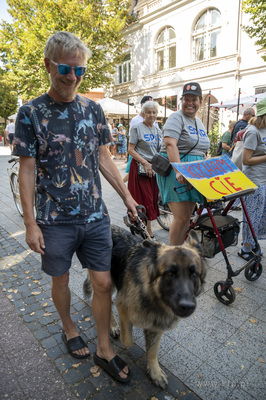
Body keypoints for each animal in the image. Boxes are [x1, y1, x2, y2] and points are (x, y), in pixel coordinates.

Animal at [83, 225, 206, 388]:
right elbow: (128, 341)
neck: (153, 295)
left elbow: (153, 351)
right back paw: (113, 326)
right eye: (170, 274)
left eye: (194, 274)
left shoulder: (159, 324)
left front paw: (154, 372)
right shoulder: (122, 305)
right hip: (105, 282)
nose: (188, 306)